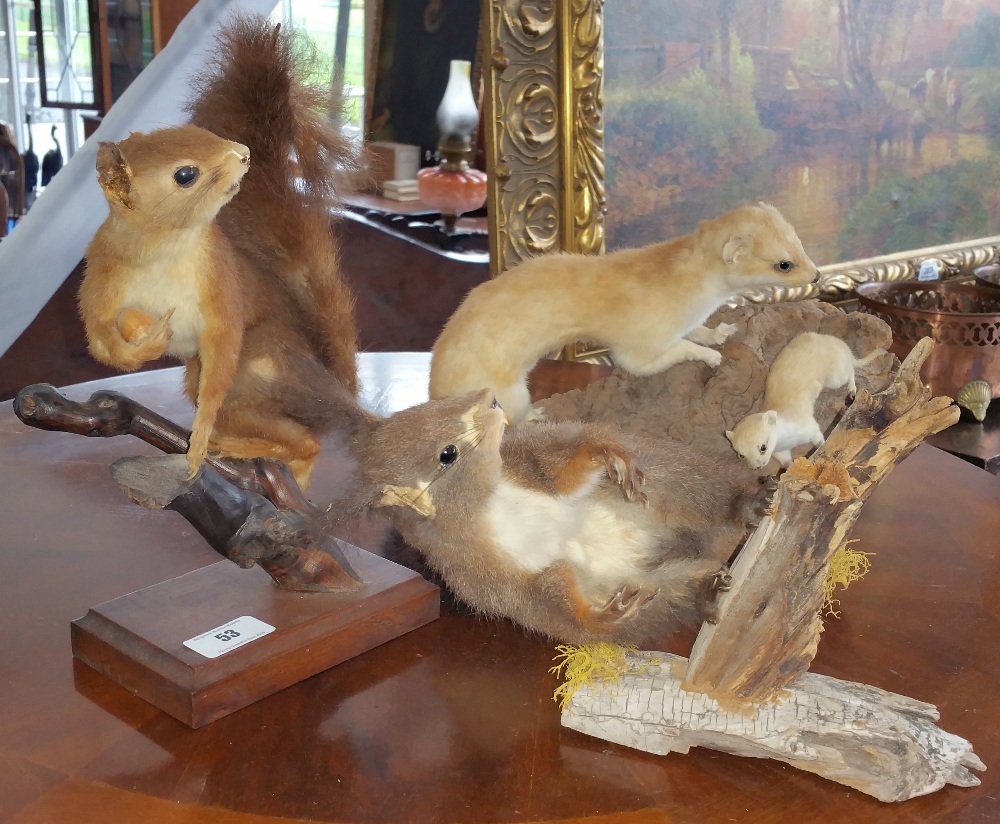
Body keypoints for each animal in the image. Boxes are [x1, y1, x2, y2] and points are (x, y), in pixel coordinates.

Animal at [79, 12, 360, 486]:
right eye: (185, 174)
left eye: (199, 131)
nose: (244, 153)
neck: (165, 248)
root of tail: (328, 386)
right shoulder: (103, 273)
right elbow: (101, 341)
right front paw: (144, 339)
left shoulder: (219, 276)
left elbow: (223, 344)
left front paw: (197, 443)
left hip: (258, 366)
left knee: (304, 439)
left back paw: (247, 451)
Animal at [328, 390, 764, 648]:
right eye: (447, 453)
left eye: (434, 404)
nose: (490, 398)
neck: (489, 506)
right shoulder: (487, 580)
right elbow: (552, 601)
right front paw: (601, 614)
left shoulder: (528, 463)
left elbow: (563, 469)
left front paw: (606, 453)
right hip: (659, 587)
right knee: (674, 594)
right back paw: (705, 590)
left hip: (670, 480)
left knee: (716, 495)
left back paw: (750, 503)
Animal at [430, 204, 820, 424]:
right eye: (784, 263)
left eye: (801, 243)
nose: (817, 275)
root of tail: (435, 388)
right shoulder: (642, 341)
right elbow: (656, 356)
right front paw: (709, 356)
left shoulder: (689, 320)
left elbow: (698, 331)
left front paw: (721, 333)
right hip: (506, 390)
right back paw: (536, 415)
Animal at [728, 330, 884, 470]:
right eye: (741, 455)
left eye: (763, 447)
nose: (756, 467)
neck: (788, 441)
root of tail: (843, 347)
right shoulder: (781, 452)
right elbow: (787, 462)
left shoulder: (810, 428)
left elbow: (819, 439)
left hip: (836, 378)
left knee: (851, 370)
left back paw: (852, 389)